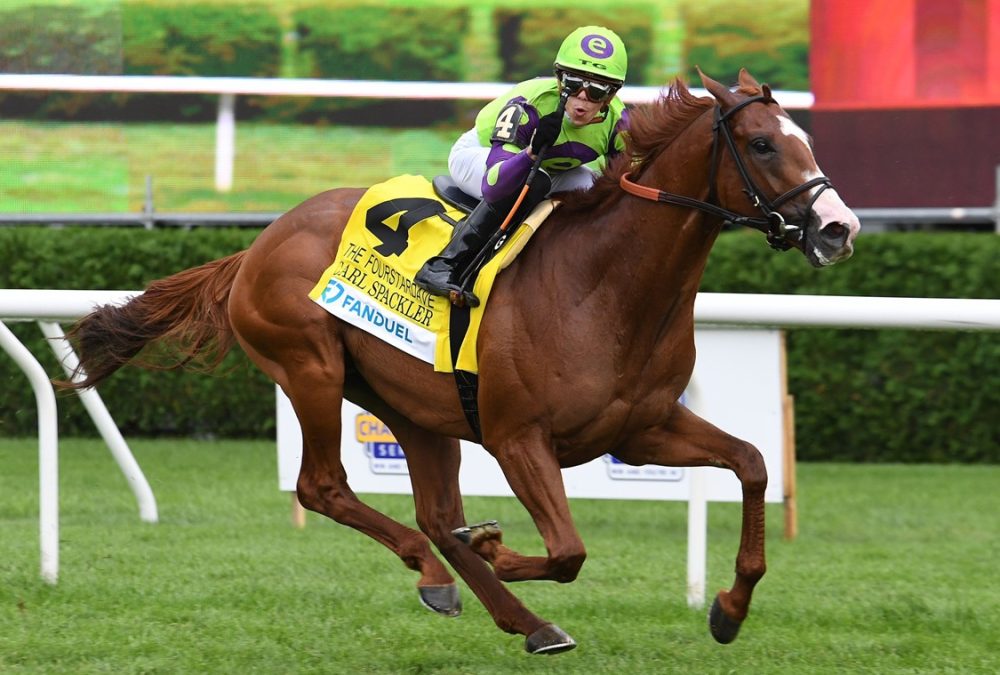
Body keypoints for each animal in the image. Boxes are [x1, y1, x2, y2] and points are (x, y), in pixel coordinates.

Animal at [60, 71, 860, 656]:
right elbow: (567, 549)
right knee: (326, 487)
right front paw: (499, 544)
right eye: (761, 143)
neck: (604, 284)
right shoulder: (517, 437)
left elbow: (752, 462)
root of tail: (258, 242)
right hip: (311, 368)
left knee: (437, 512)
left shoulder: (641, 428)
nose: (838, 228)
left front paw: (728, 608)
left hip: (415, 405)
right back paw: (441, 574)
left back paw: (519, 616)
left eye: (802, 139)